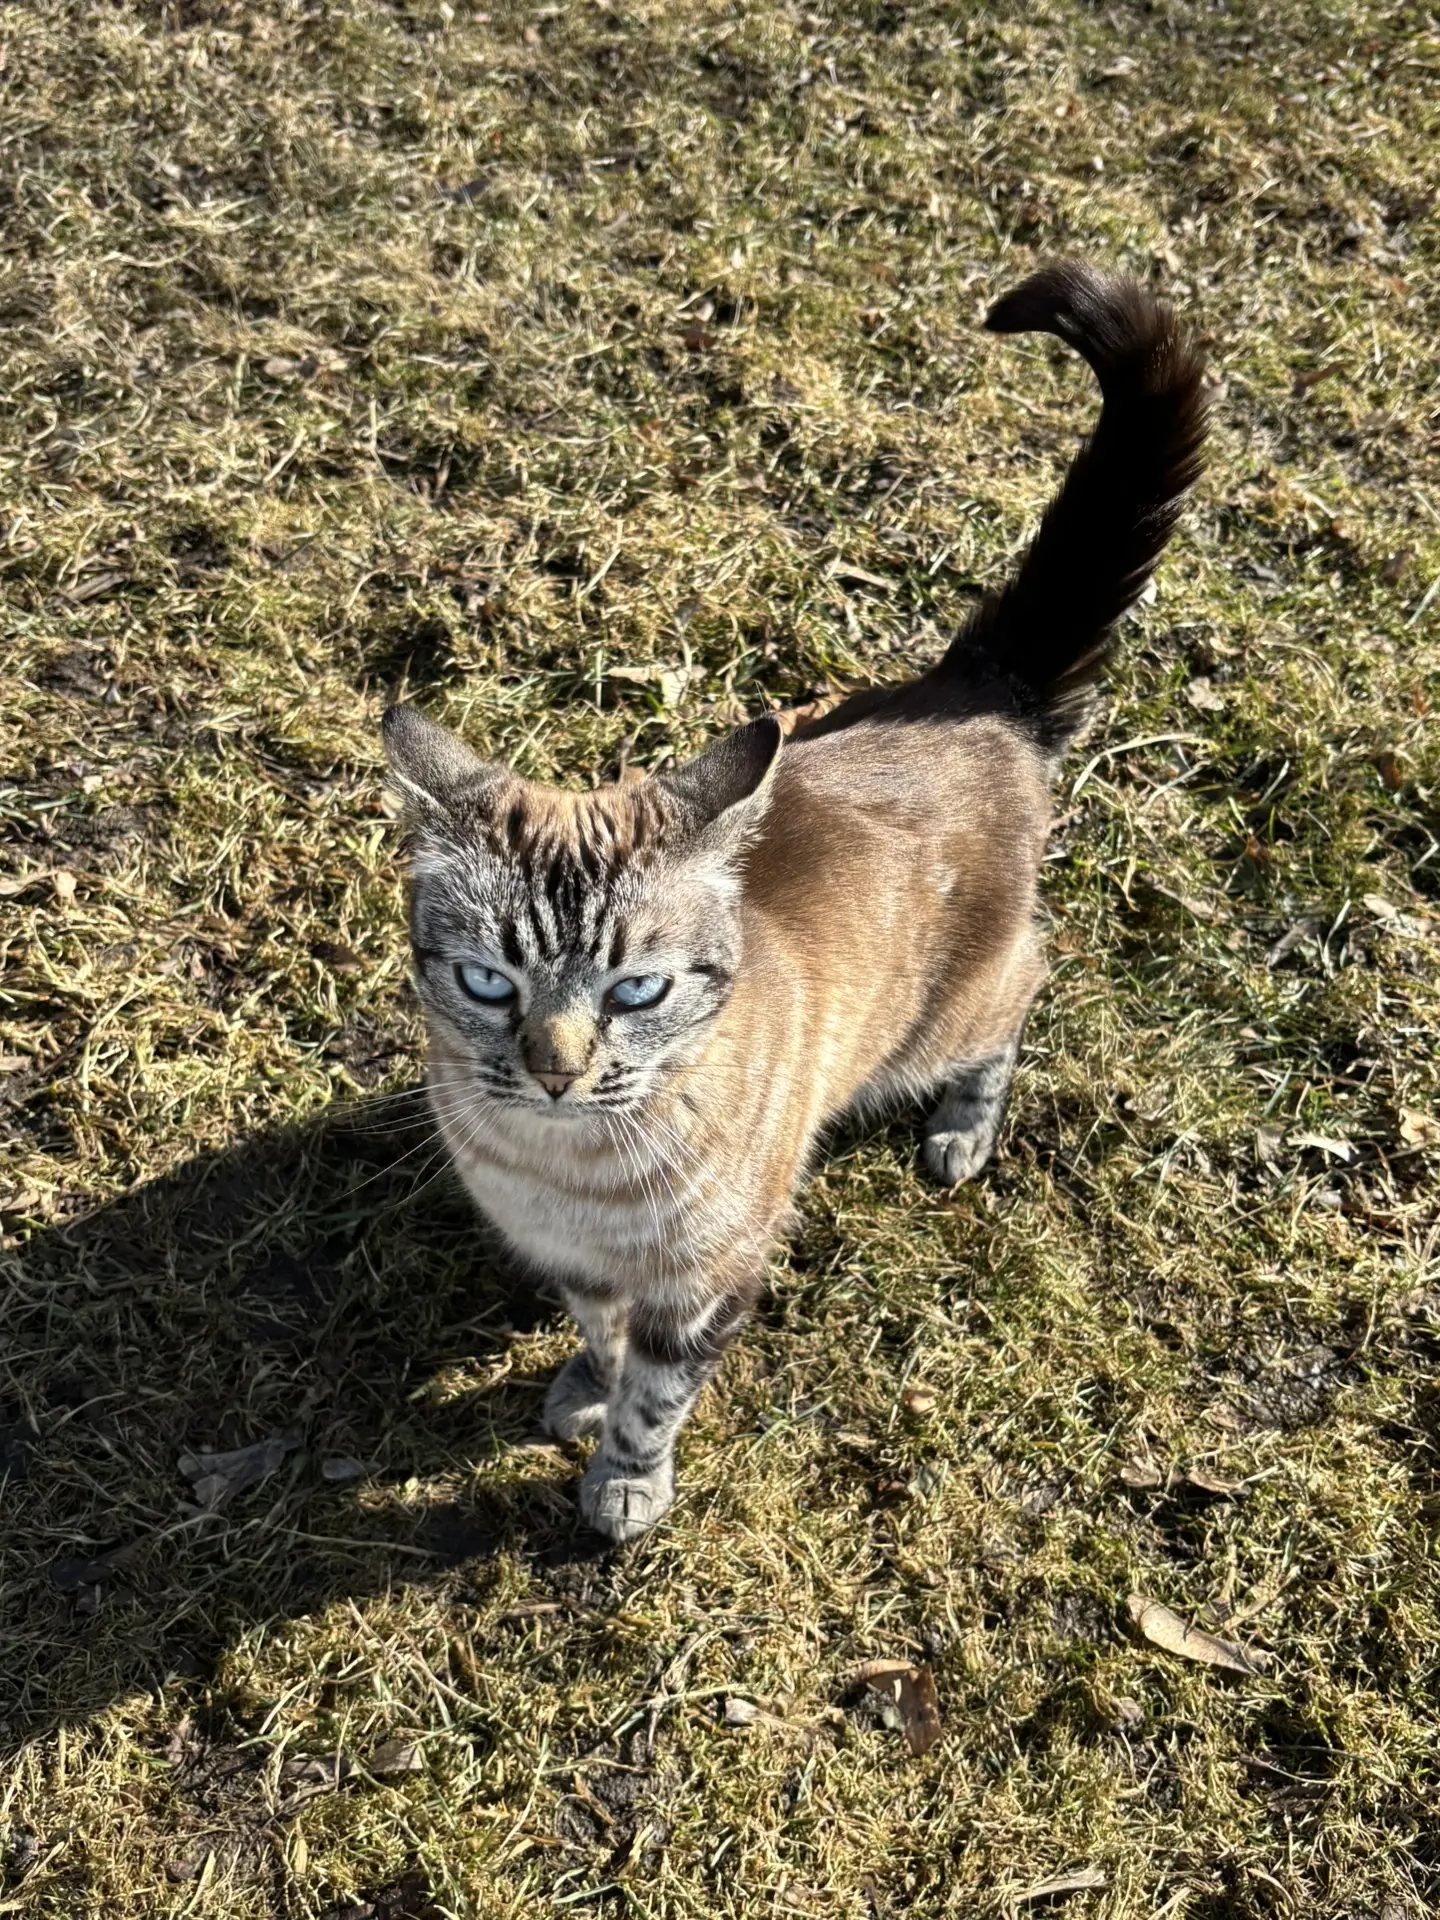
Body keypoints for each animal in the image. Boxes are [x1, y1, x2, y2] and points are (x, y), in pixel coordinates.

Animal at [381, 260, 1208, 1542]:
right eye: (487, 981)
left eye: (637, 991)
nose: (556, 1070)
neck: (569, 1170)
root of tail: (977, 688)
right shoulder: (579, 1267)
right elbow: (596, 1337)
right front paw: (577, 1389)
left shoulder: (704, 1285)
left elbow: (655, 1395)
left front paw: (623, 1487)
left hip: (947, 1016)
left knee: (1029, 984)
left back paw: (962, 1131)